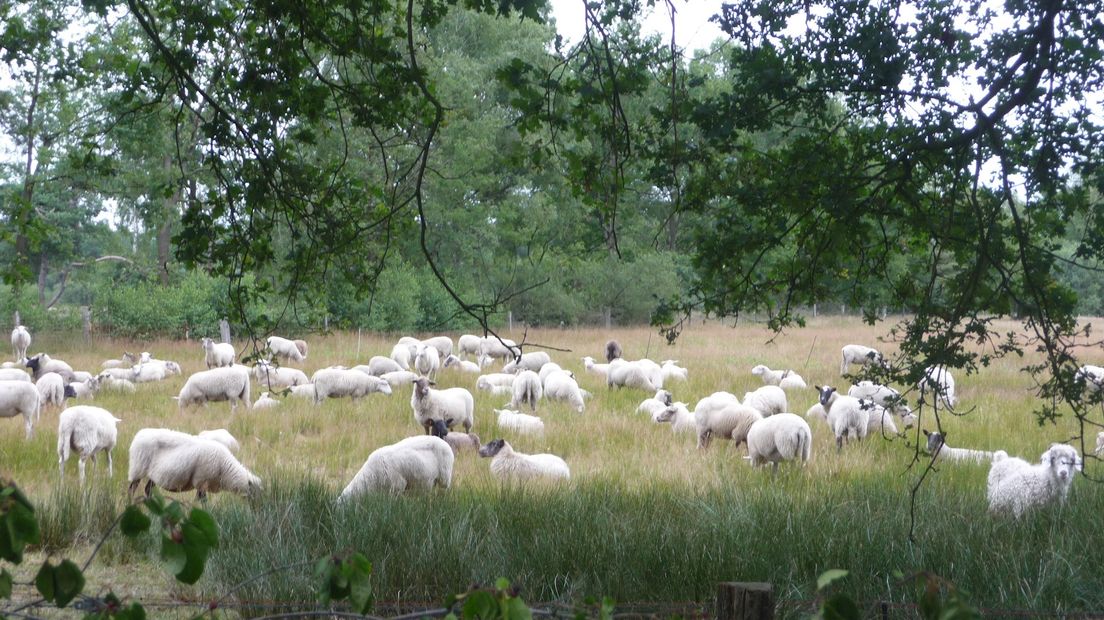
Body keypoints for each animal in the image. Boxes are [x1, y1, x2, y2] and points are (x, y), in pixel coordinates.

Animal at [126, 428, 260, 498]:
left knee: (147, 489)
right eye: (255, 492)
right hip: (137, 469)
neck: (225, 469)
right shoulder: (202, 481)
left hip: (154, 474)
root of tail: (139, 435)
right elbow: (202, 500)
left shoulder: (202, 484)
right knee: (131, 489)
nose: (257, 509)